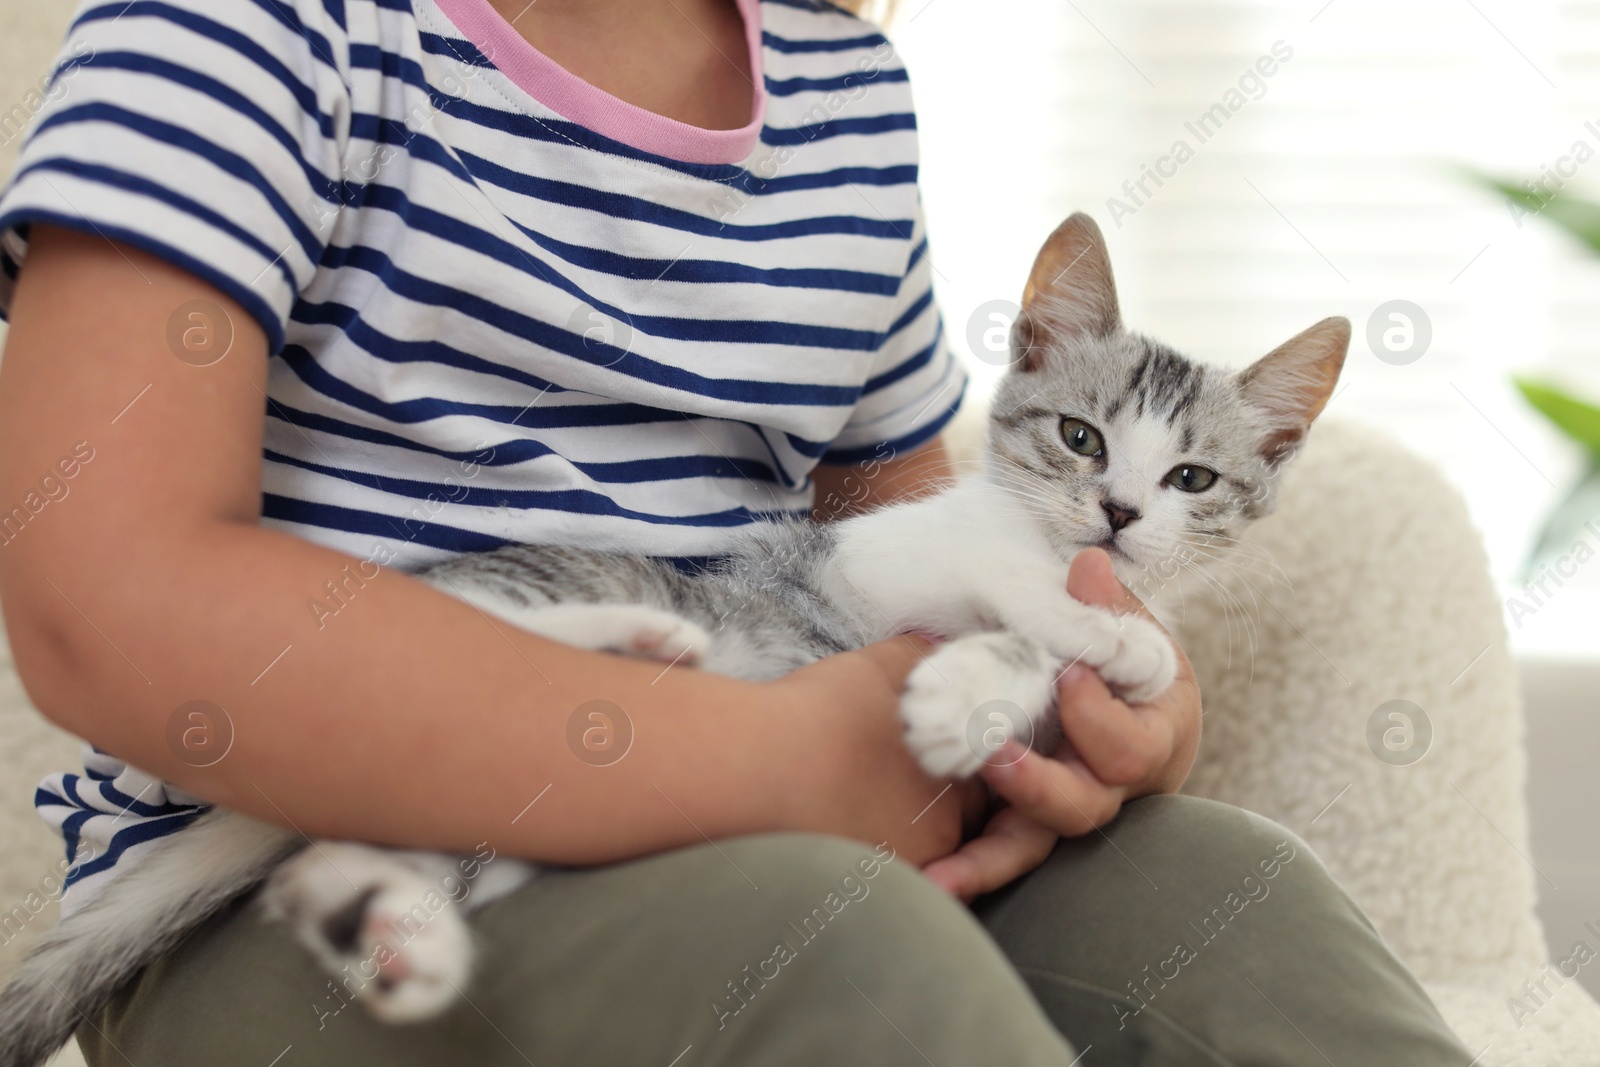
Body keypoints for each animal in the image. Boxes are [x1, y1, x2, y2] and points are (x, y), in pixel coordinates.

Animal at [0, 212, 1350, 1062]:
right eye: (1080, 438)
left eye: (1189, 477)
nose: (1117, 515)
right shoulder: (888, 554)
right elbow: (1016, 597)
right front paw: (1090, 638)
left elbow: (1050, 663)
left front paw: (1031, 671)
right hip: (496, 620)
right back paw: (647, 639)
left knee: (349, 865)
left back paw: (396, 926)